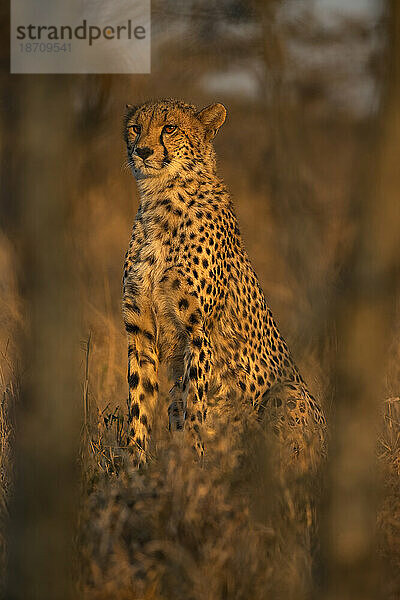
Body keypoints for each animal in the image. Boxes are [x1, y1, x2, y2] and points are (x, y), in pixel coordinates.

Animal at [122, 98, 324, 464]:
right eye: (135, 128)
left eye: (169, 128)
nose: (142, 151)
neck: (162, 200)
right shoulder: (139, 330)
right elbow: (139, 403)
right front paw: (134, 466)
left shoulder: (198, 330)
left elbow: (196, 405)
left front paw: (193, 463)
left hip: (289, 392)